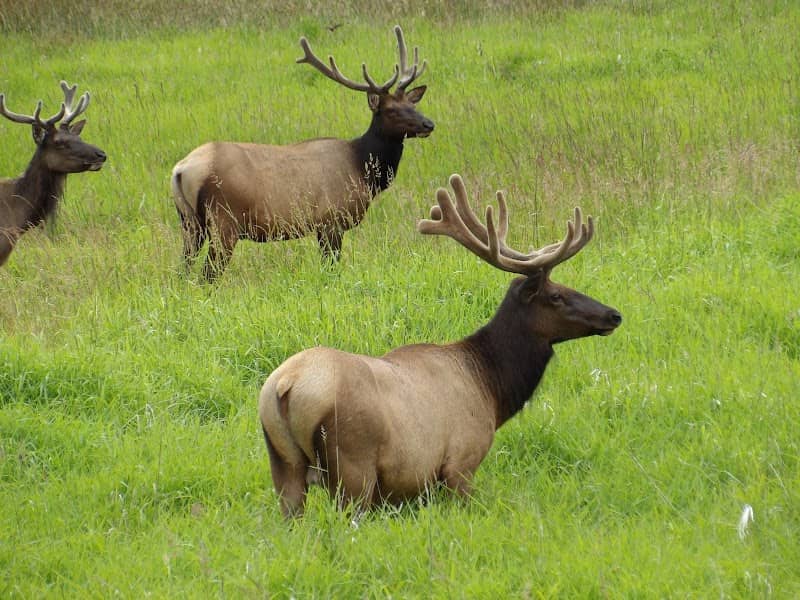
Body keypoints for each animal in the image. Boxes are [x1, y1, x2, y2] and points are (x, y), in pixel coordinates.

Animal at [171, 25, 434, 281]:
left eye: (413, 104)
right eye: (391, 110)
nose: (429, 124)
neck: (362, 169)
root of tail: (181, 169)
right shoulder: (331, 221)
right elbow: (331, 270)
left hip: (190, 224)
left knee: (183, 272)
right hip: (223, 221)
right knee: (207, 275)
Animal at [258, 174, 623, 518]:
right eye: (556, 295)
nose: (613, 314)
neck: (491, 390)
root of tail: (286, 385)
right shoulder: (461, 462)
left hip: (283, 463)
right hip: (352, 465)